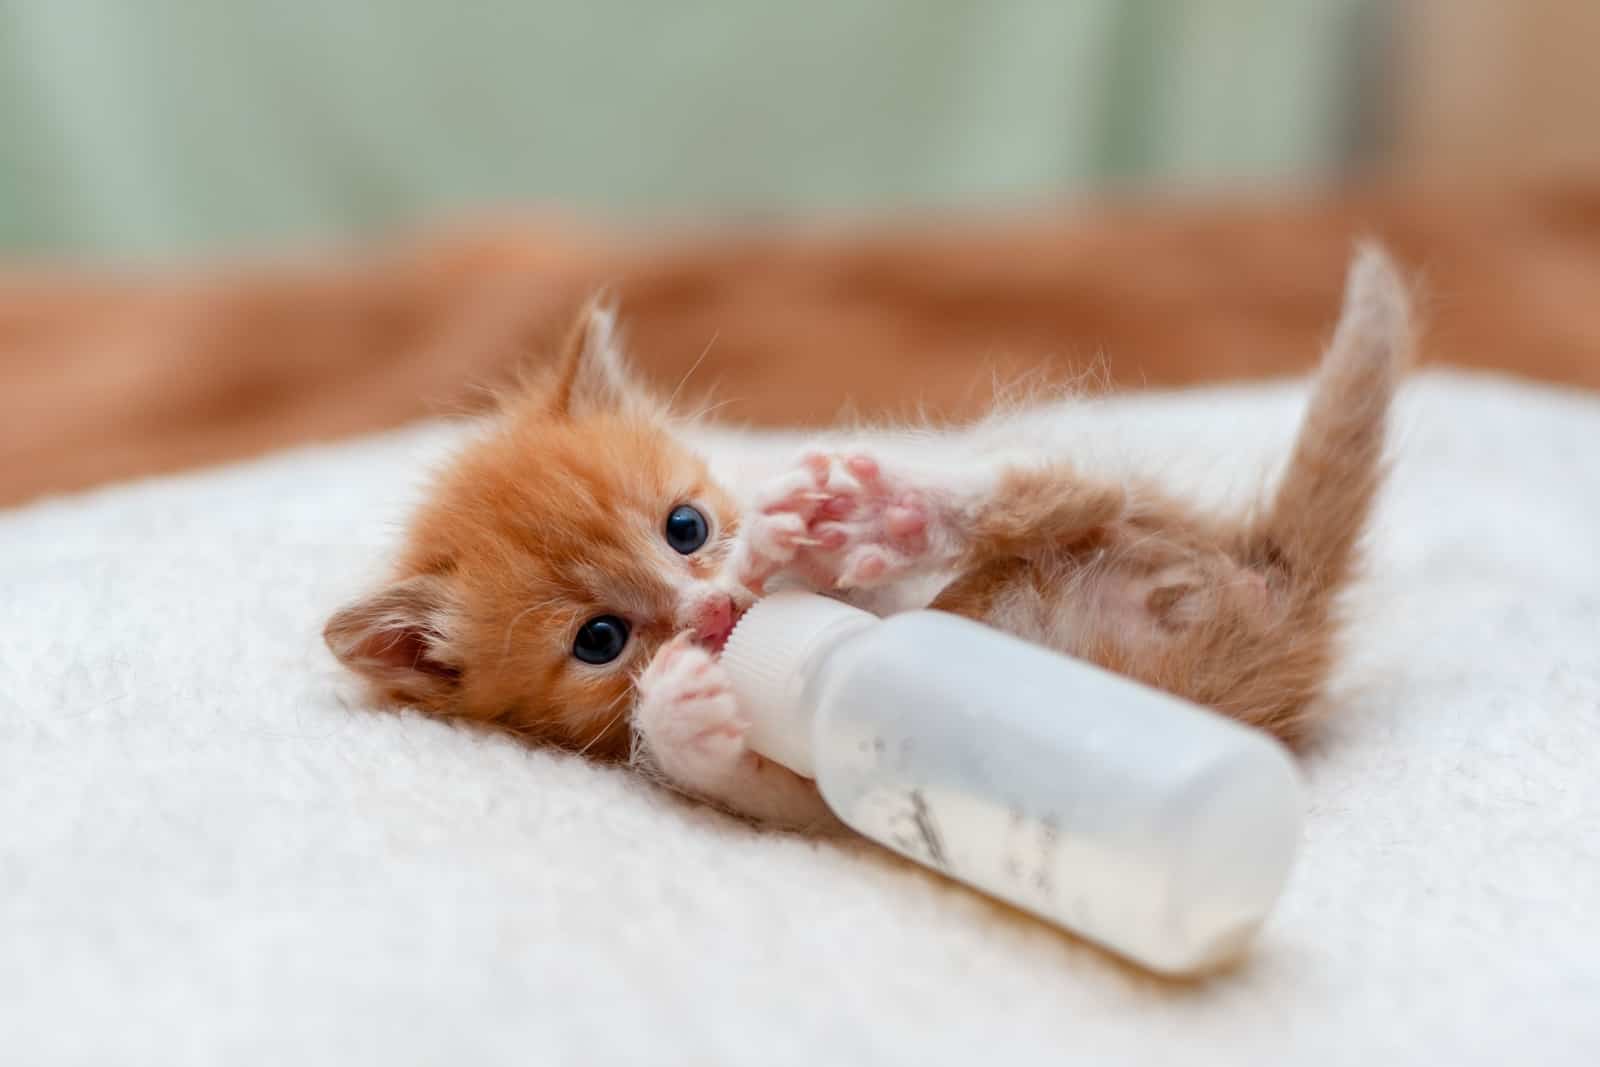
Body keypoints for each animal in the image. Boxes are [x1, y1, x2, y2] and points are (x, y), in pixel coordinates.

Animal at [328, 247, 1414, 825]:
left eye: (686, 526)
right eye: (600, 639)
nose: (712, 610)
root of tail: (1276, 591)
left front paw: (788, 543)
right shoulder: (826, 785)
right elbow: (754, 781)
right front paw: (682, 713)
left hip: (1113, 498)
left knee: (1058, 487)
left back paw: (892, 509)